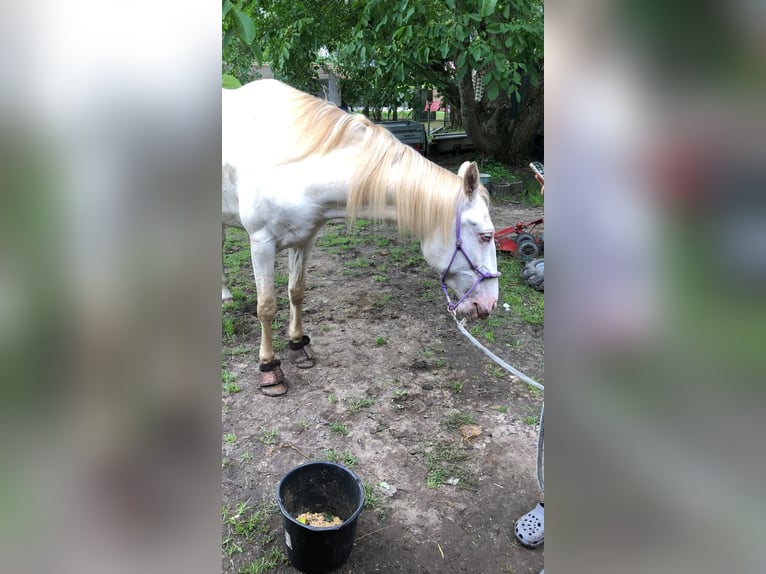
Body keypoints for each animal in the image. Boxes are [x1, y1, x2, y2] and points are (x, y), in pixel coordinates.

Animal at [224, 80, 498, 396]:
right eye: (486, 236)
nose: (490, 304)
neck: (291, 165)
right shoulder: (261, 244)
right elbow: (266, 307)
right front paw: (269, 369)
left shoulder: (304, 240)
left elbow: (296, 292)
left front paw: (297, 346)